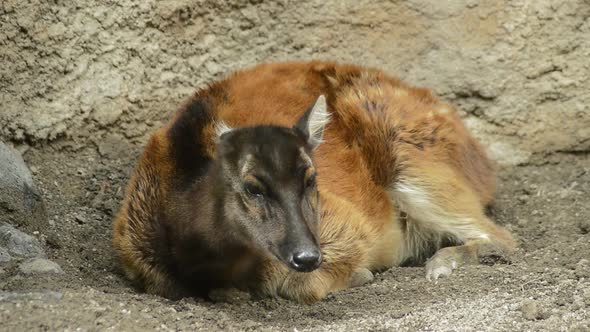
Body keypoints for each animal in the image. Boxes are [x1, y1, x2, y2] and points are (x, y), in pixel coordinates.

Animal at [112, 60, 520, 304]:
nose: (308, 255)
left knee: (502, 236)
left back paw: (439, 266)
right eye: (251, 187)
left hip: (415, 161)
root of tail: (481, 160)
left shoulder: (347, 225)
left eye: (312, 180)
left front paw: (361, 275)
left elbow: (303, 284)